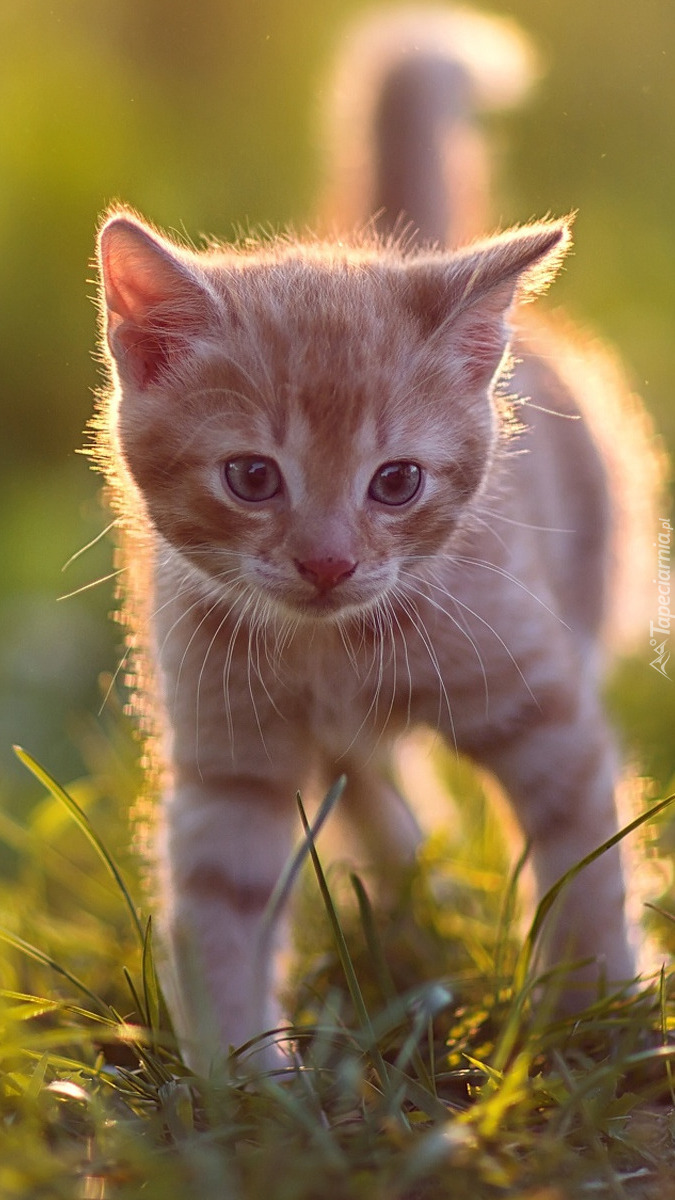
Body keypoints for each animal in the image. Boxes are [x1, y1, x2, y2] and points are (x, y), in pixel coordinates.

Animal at [89, 9, 653, 1075]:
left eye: (396, 483)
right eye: (252, 478)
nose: (327, 562)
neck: (331, 654)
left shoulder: (544, 705)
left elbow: (584, 857)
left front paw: (593, 1014)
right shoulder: (226, 754)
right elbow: (219, 902)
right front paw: (242, 1083)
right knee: (361, 778)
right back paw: (403, 879)